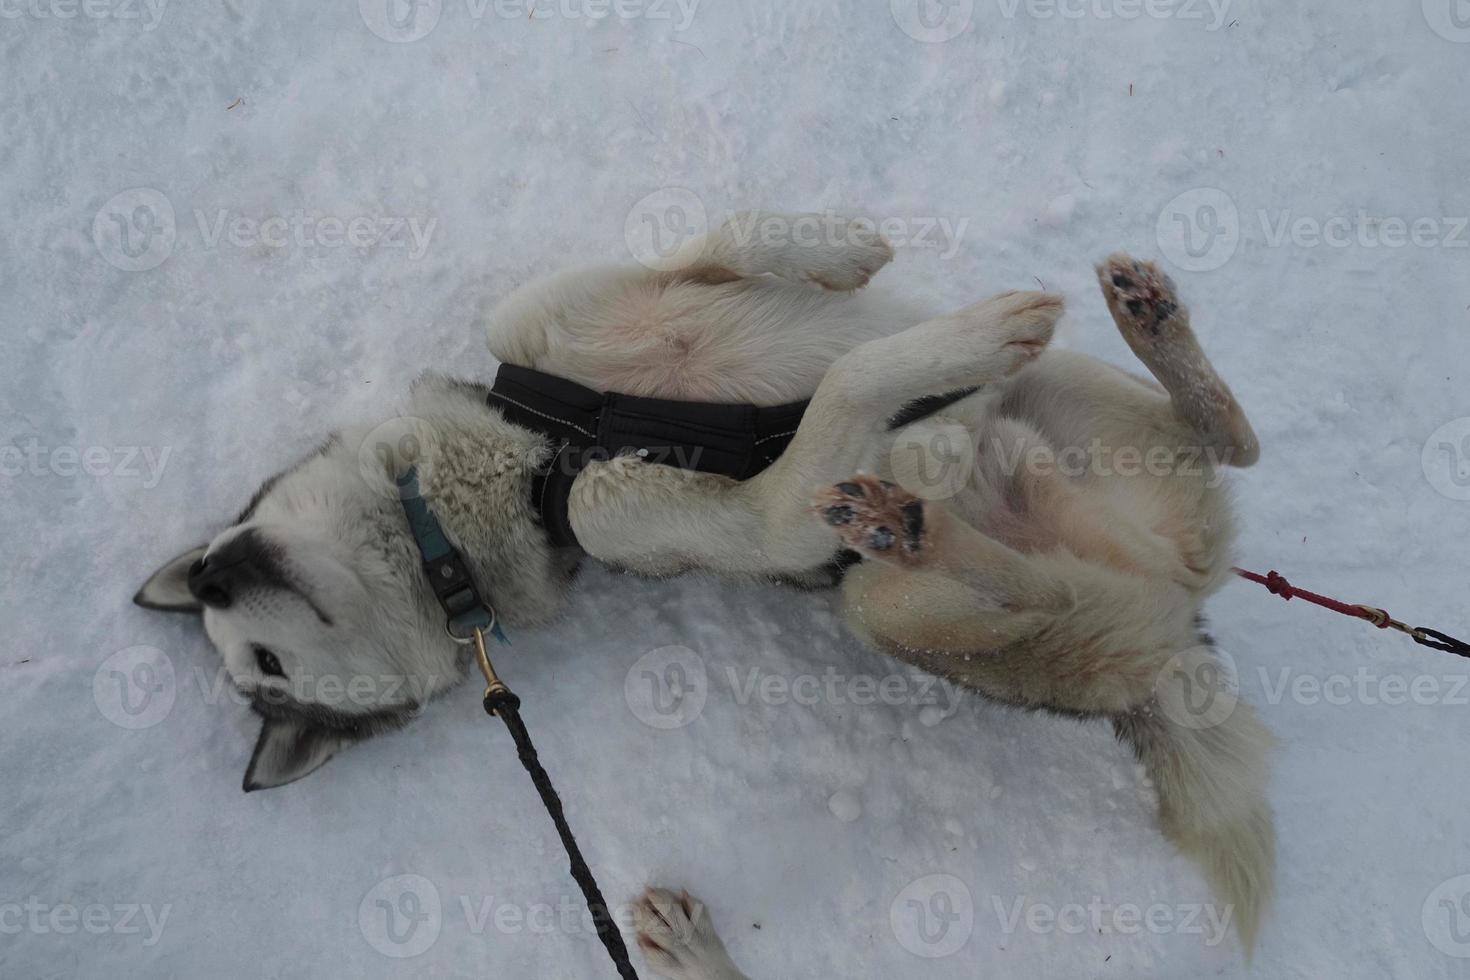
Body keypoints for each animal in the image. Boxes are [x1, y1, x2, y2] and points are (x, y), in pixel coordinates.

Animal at [132, 208, 1270, 963]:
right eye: (262, 663)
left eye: (223, 582)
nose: (222, 568)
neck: (534, 457)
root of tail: (1182, 617)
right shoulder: (728, 514)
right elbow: (846, 390)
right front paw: (948, 345)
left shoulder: (549, 312)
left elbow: (717, 236)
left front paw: (837, 248)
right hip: (902, 608)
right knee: (1009, 585)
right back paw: (914, 515)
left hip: (1078, 407)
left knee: (1234, 444)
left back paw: (1154, 330)